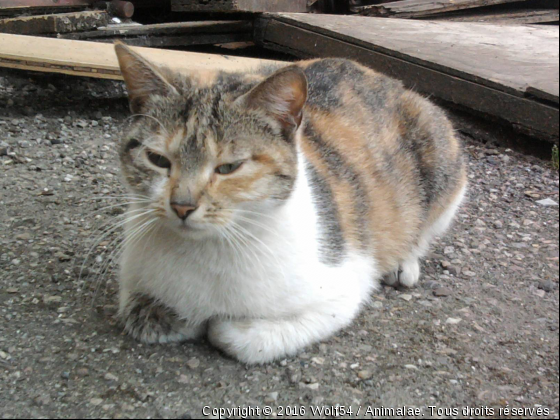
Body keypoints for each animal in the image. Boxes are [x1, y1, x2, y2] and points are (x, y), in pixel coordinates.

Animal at [111, 43, 466, 364]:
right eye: (157, 159)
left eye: (228, 167)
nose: (182, 205)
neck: (207, 250)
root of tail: (381, 75)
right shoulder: (133, 283)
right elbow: (140, 313)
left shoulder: (340, 292)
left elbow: (236, 336)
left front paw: (220, 325)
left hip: (445, 162)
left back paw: (403, 261)